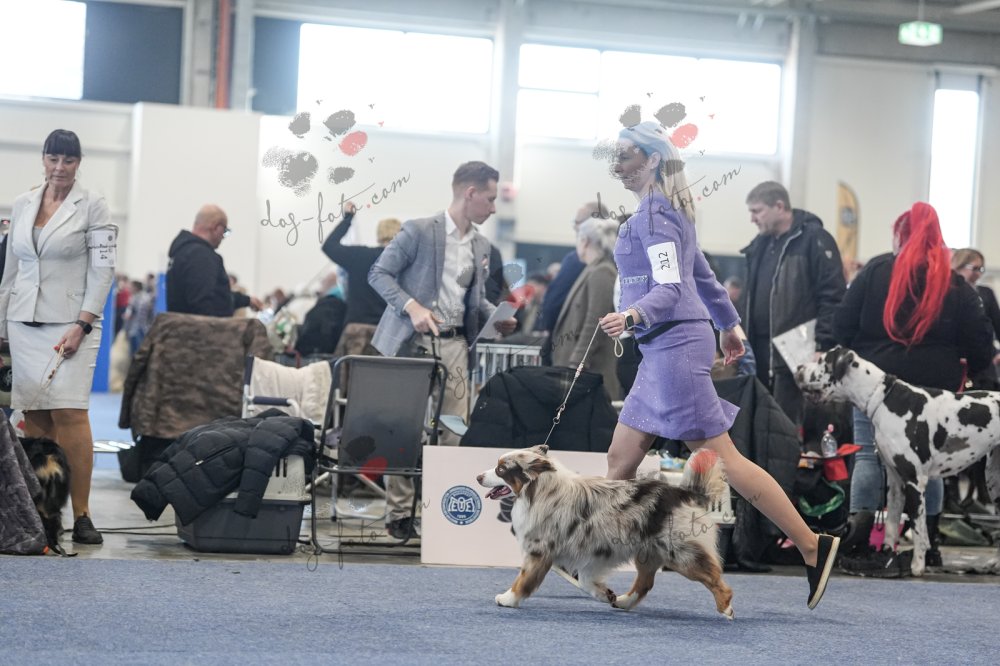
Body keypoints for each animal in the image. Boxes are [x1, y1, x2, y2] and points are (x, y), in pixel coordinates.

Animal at [476, 445, 734, 618]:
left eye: (501, 469)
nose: (477, 476)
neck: (540, 490)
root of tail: (683, 493)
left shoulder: (540, 550)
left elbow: (524, 578)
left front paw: (508, 598)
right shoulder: (594, 552)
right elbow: (585, 581)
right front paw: (604, 593)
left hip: (679, 553)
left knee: (714, 578)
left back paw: (726, 608)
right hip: (648, 552)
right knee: (644, 583)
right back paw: (622, 602)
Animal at [795, 346, 1000, 575]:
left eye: (821, 361)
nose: (799, 367)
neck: (884, 400)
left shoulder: (914, 480)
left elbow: (918, 528)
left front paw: (917, 566)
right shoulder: (895, 484)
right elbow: (892, 525)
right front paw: (886, 556)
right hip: (994, 482)